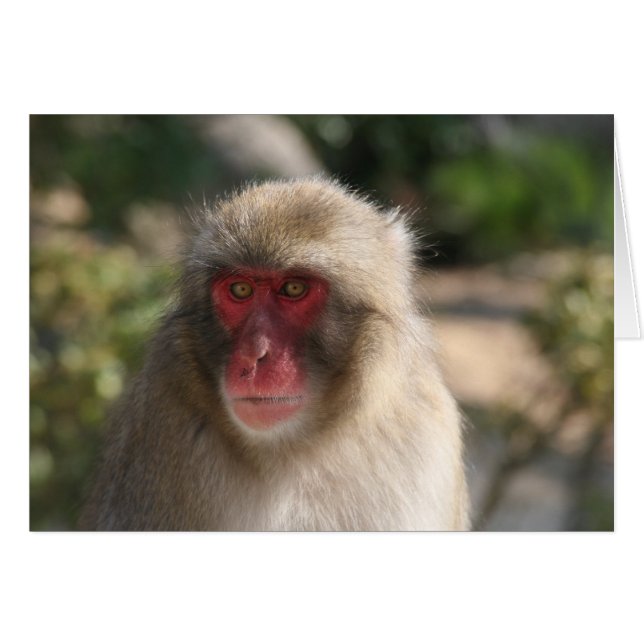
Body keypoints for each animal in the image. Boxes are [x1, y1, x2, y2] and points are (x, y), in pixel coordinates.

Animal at [79, 178, 469, 531]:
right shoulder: (161, 421)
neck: (289, 450)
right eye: (240, 290)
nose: (254, 356)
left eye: (293, 288)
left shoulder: (426, 430)